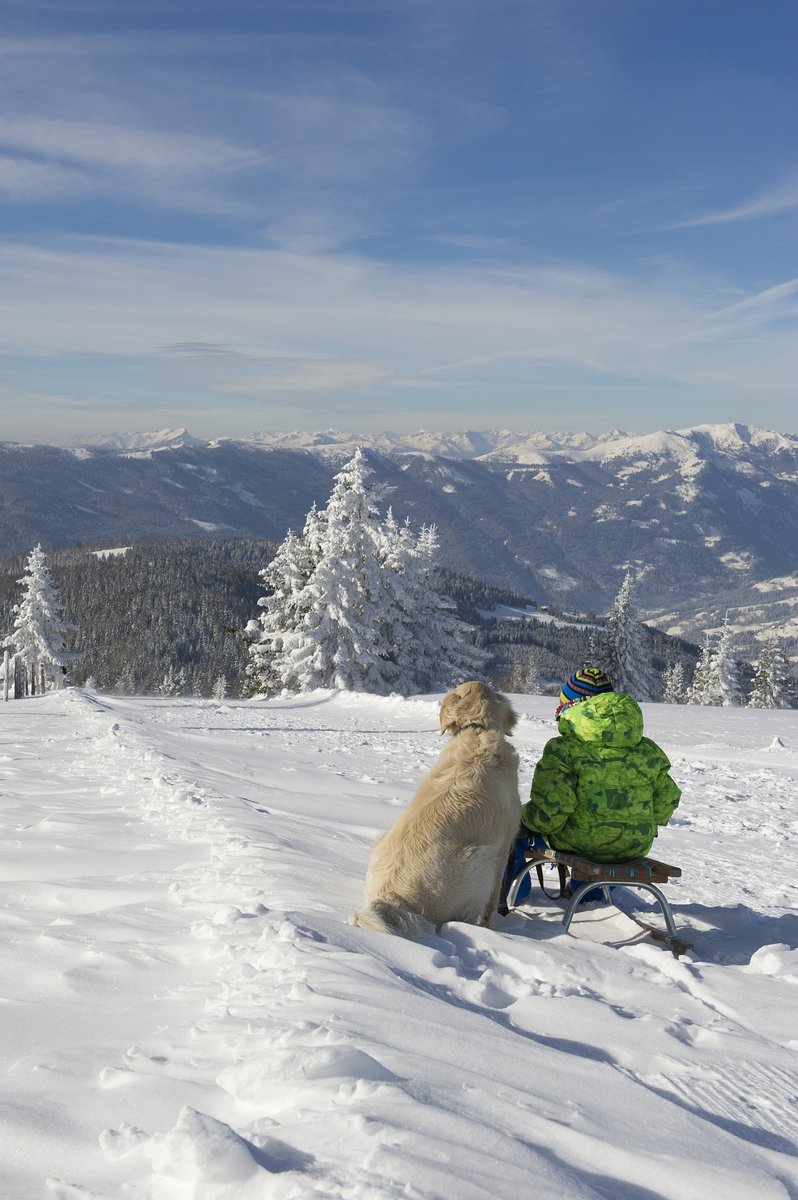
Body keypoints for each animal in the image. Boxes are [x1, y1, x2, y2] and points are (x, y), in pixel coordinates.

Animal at [352, 686, 520, 936]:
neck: (478, 728)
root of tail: (391, 897)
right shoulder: (504, 845)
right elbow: (493, 901)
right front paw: (490, 926)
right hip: (483, 858)